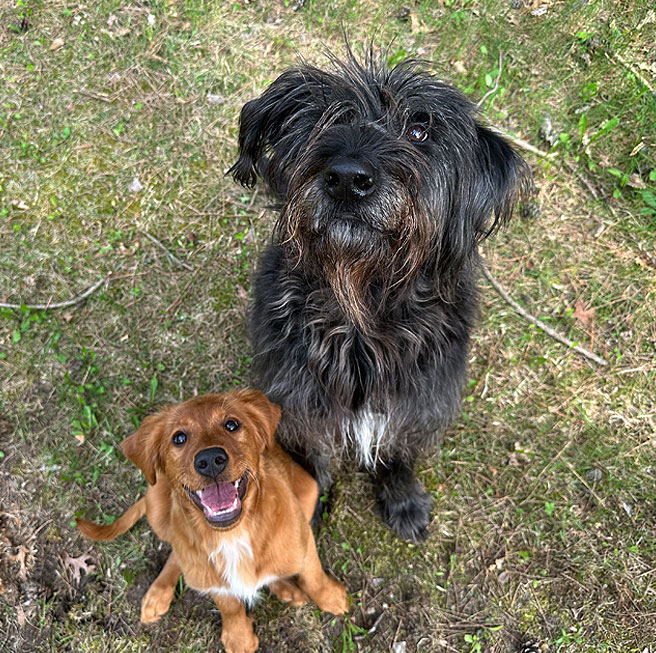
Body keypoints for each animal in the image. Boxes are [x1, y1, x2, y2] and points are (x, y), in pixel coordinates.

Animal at [77, 390, 348, 648]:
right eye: (179, 438)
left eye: (231, 424)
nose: (209, 461)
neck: (233, 534)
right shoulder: (214, 582)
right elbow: (229, 606)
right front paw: (239, 639)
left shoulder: (304, 541)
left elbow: (313, 576)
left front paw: (332, 598)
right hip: (156, 507)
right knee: (177, 553)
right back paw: (157, 594)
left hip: (308, 491)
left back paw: (287, 588)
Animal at [228, 49, 532, 540]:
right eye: (326, 119)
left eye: (419, 130)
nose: (348, 179)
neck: (363, 315)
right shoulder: (300, 407)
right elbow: (312, 462)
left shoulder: (416, 405)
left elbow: (399, 454)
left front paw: (403, 498)